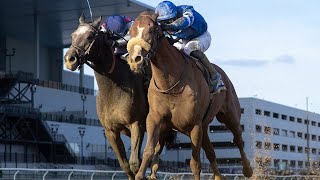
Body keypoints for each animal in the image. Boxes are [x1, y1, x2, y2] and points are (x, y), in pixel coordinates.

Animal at [63, 14, 171, 180]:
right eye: (73, 35)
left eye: (89, 36)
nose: (70, 59)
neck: (114, 84)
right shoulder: (110, 131)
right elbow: (125, 165)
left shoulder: (136, 124)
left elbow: (134, 163)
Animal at [126, 11, 254, 180]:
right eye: (131, 31)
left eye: (152, 29)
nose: (135, 59)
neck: (170, 83)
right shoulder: (155, 118)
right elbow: (149, 151)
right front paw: (142, 174)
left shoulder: (194, 125)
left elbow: (195, 164)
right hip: (204, 126)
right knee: (211, 153)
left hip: (229, 116)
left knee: (238, 139)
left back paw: (248, 169)